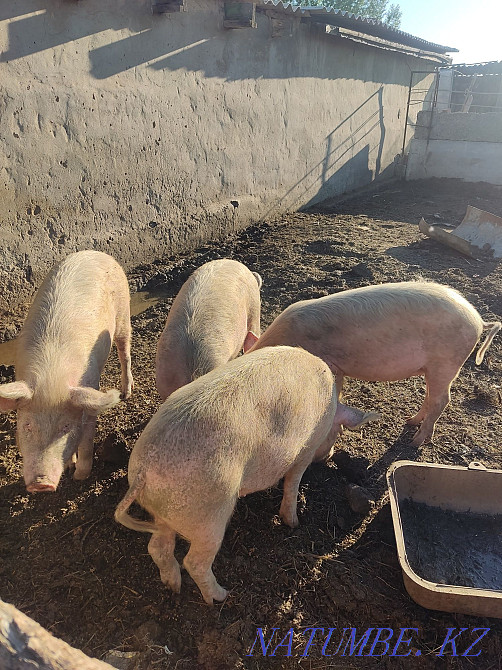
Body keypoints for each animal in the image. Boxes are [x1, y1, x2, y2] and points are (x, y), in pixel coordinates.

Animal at [0, 250, 133, 492]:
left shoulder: (90, 388)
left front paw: (79, 476)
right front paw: (70, 466)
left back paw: (126, 393)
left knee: (124, 350)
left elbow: (87, 439)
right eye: (27, 425)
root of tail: (95, 252)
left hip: (123, 311)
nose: (41, 484)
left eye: (65, 426)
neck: (52, 374)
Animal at [115, 345, 378, 604]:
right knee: (194, 562)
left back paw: (173, 587)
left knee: (157, 547)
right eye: (339, 431)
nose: (328, 456)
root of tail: (143, 471)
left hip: (164, 511)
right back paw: (221, 596)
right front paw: (293, 523)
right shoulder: (306, 449)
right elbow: (293, 483)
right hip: (209, 515)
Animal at [249, 281, 501, 447]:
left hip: (446, 363)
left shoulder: (332, 365)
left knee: (442, 400)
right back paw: (410, 422)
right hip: (434, 368)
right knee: (431, 396)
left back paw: (416, 441)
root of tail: (479, 319)